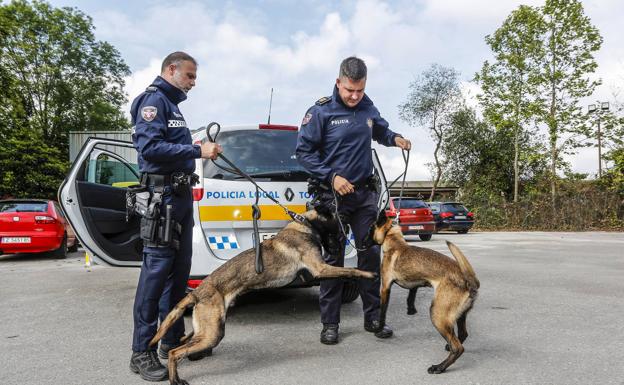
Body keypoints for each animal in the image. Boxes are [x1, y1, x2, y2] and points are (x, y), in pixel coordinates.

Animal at [150, 207, 376, 384]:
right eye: (337, 229)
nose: (340, 248)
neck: (304, 225)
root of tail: (198, 291)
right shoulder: (320, 269)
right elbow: (351, 270)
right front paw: (369, 273)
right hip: (212, 332)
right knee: (175, 352)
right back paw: (175, 379)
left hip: (210, 327)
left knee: (183, 340)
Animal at [368, 210, 480, 372]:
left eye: (371, 228)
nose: (361, 240)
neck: (396, 243)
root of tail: (468, 281)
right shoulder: (416, 282)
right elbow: (411, 295)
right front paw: (411, 309)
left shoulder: (385, 288)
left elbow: (382, 312)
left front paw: (379, 329)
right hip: (459, 316)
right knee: (462, 335)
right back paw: (447, 349)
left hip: (437, 315)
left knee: (458, 348)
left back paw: (439, 367)